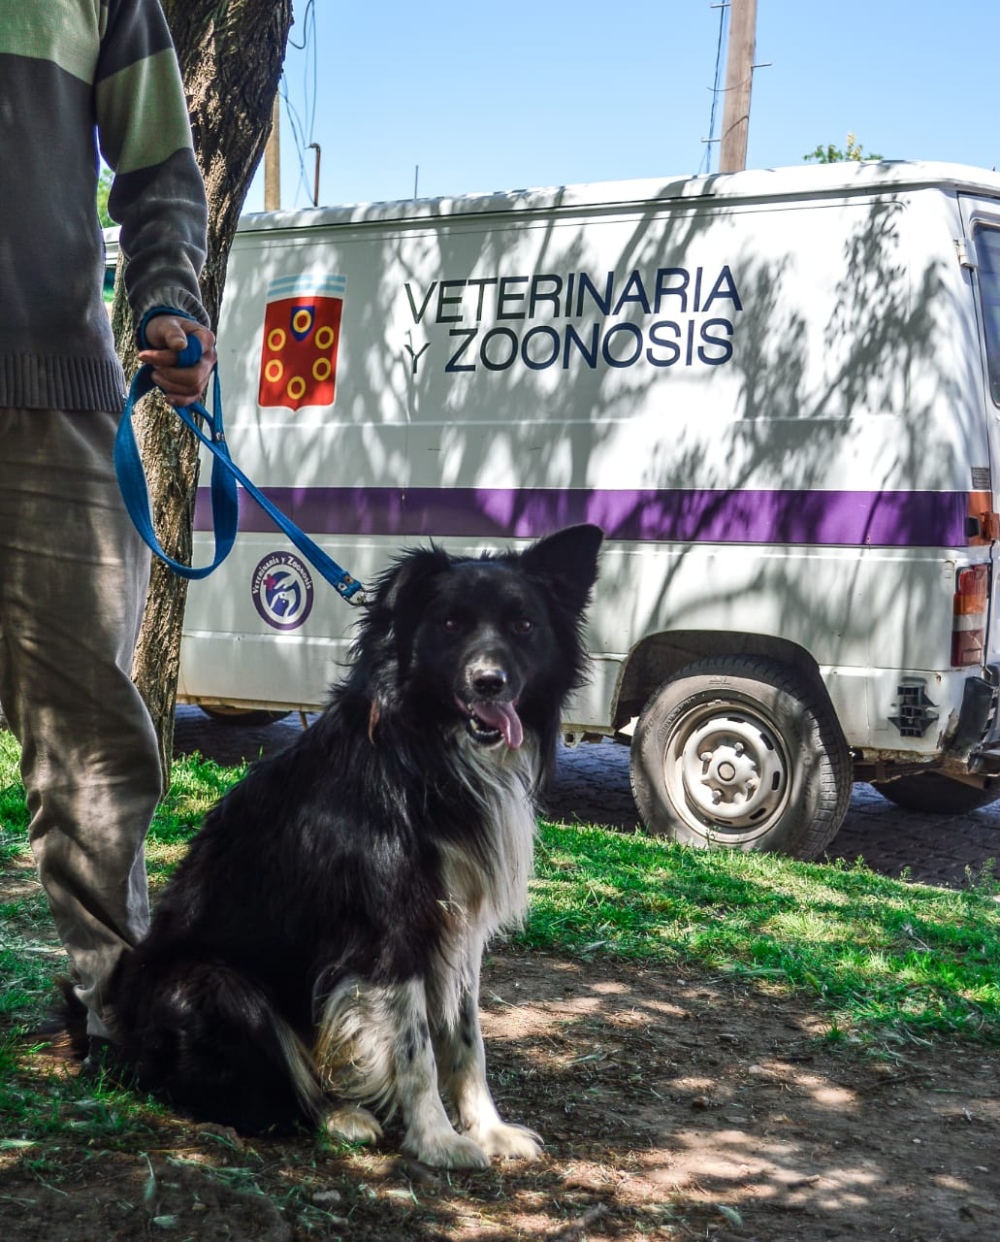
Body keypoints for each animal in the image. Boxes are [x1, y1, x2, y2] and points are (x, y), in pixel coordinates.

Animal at [109, 521, 601, 1162]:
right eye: (450, 623)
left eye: (524, 625)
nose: (489, 683)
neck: (427, 751)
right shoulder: (393, 928)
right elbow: (416, 1045)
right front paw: (437, 1139)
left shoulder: (460, 928)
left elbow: (467, 1039)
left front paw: (488, 1129)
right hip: (215, 984)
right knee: (254, 1090)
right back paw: (338, 1115)